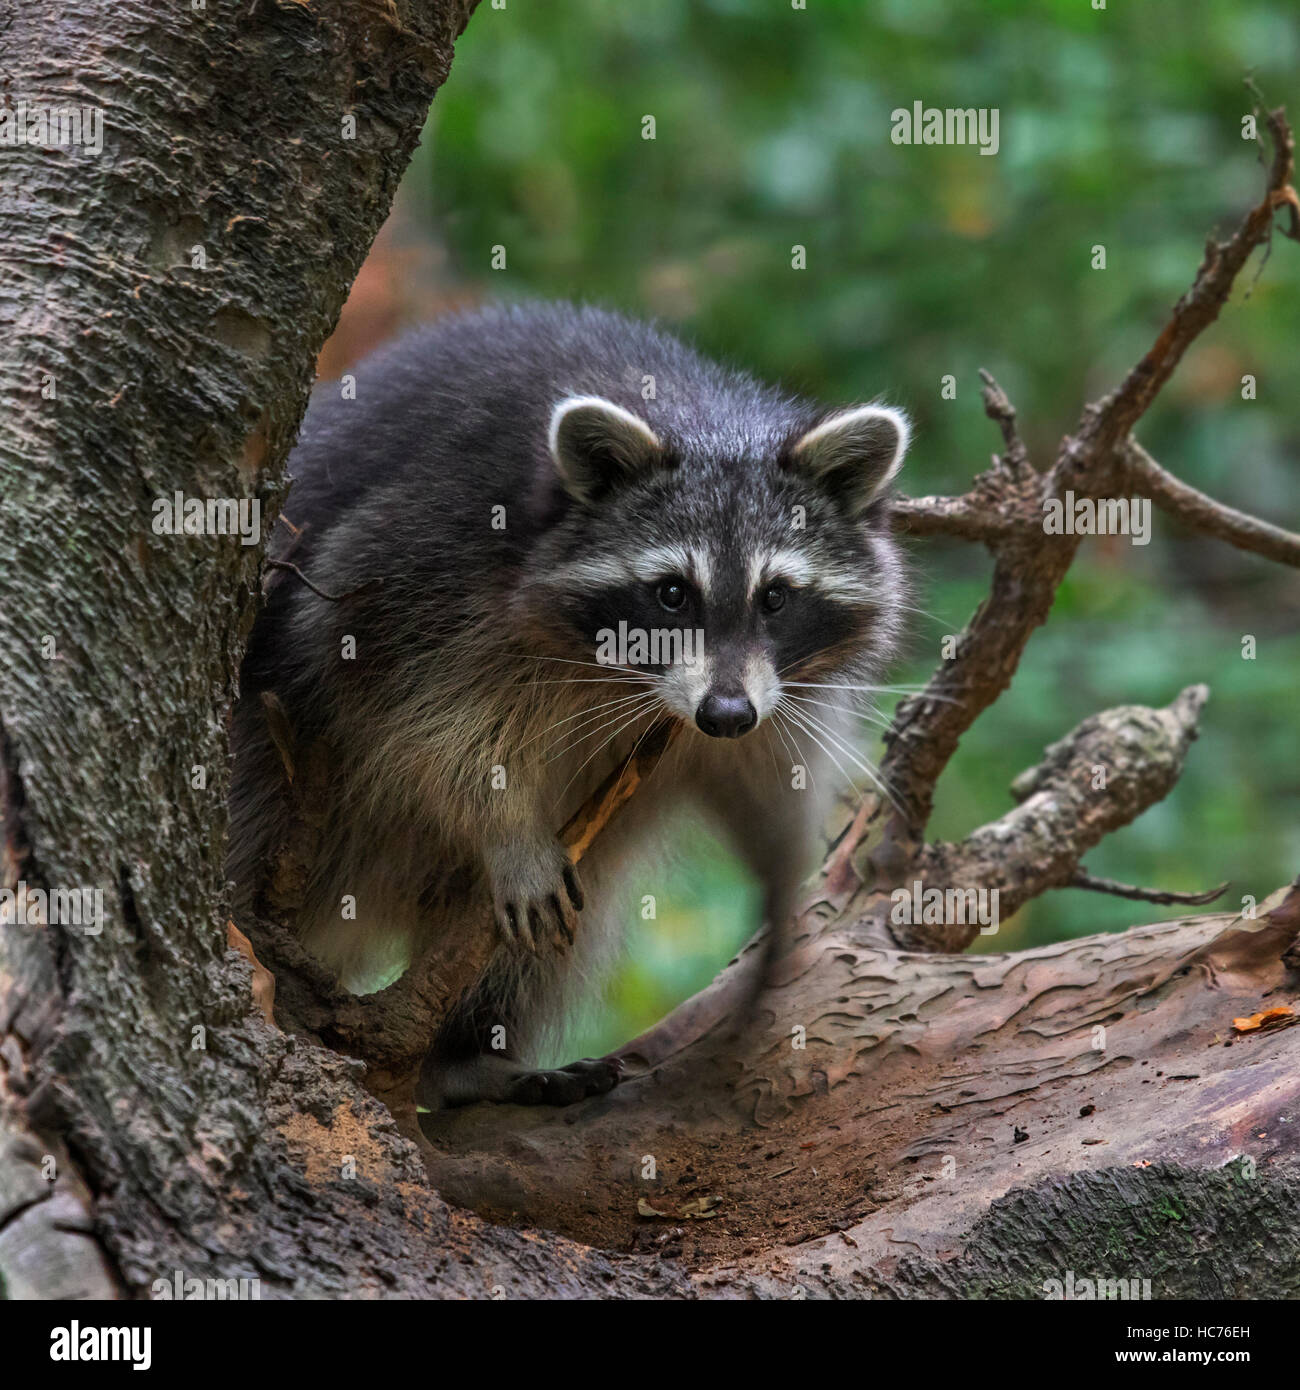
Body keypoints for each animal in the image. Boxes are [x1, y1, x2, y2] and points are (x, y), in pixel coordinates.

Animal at [226, 301, 917, 1106]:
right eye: (672, 593)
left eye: (776, 597)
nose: (724, 716)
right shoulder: (421, 557)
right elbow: (422, 719)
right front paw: (506, 826)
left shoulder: (770, 690)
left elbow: (766, 772)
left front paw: (781, 877)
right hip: (267, 757)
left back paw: (468, 1051)